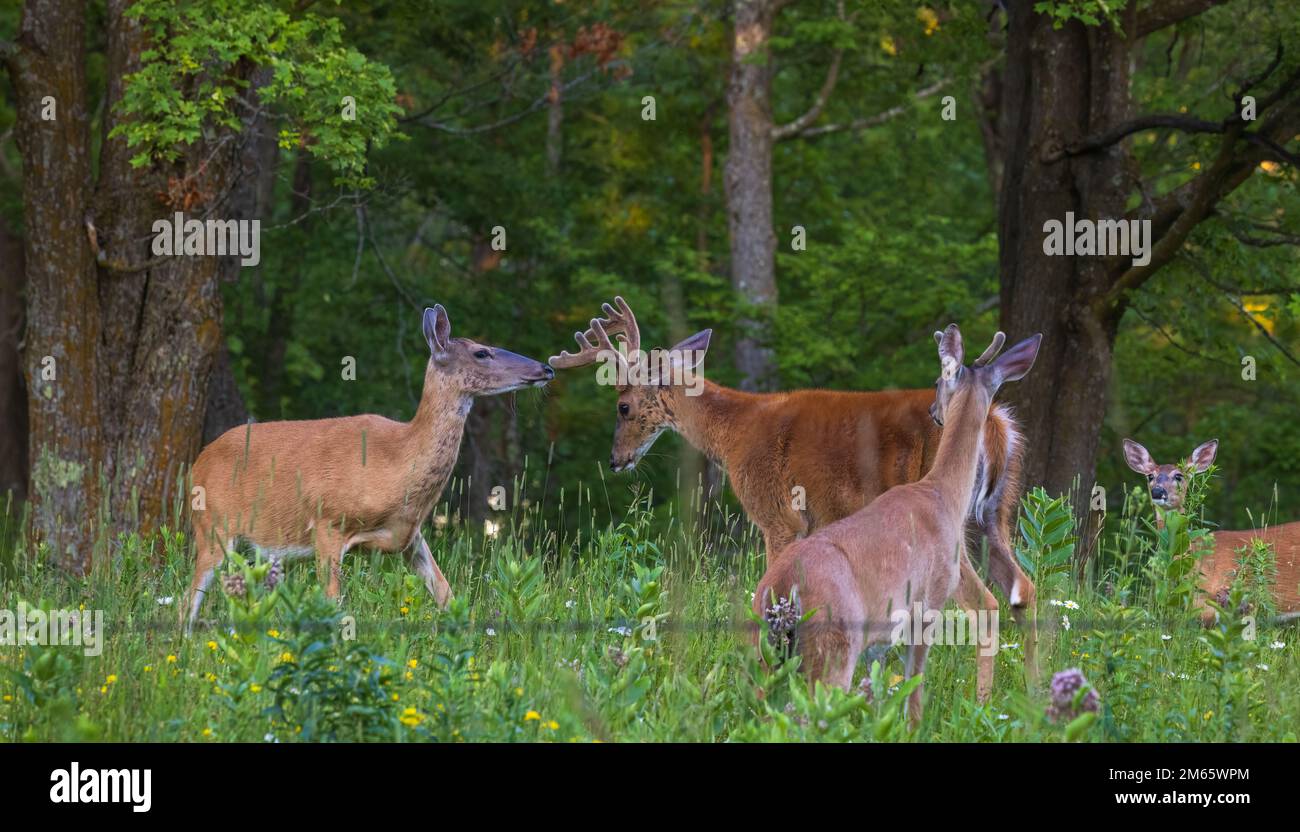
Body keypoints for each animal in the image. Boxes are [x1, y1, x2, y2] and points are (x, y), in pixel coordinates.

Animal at [182, 305, 554, 632]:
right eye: (481, 352)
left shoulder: (411, 535)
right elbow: (332, 604)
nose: (545, 369)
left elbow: (447, 594)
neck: (398, 461)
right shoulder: (329, 522)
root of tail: (197, 462)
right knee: (189, 598)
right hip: (213, 525)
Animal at [549, 296, 1043, 679]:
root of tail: (998, 425)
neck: (735, 434)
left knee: (986, 604)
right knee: (1025, 590)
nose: (616, 460)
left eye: (623, 406)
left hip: (953, 531)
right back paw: (1032, 694)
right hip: (995, 515)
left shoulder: (778, 516)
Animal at [753, 325, 1042, 723]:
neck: (941, 494)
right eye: (936, 381)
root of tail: (782, 587)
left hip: (767, 650)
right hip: (834, 643)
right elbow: (914, 690)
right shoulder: (928, 601)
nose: (934, 411)